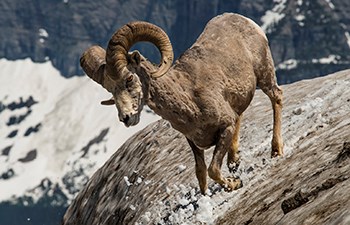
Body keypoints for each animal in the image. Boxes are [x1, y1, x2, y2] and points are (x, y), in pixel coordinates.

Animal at [81, 13, 284, 194]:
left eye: (129, 78)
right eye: (111, 90)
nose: (126, 117)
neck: (190, 101)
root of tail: (245, 20)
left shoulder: (226, 127)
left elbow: (213, 170)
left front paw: (235, 183)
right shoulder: (193, 141)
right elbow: (201, 173)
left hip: (265, 75)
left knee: (277, 97)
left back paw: (276, 151)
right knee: (241, 115)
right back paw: (234, 161)